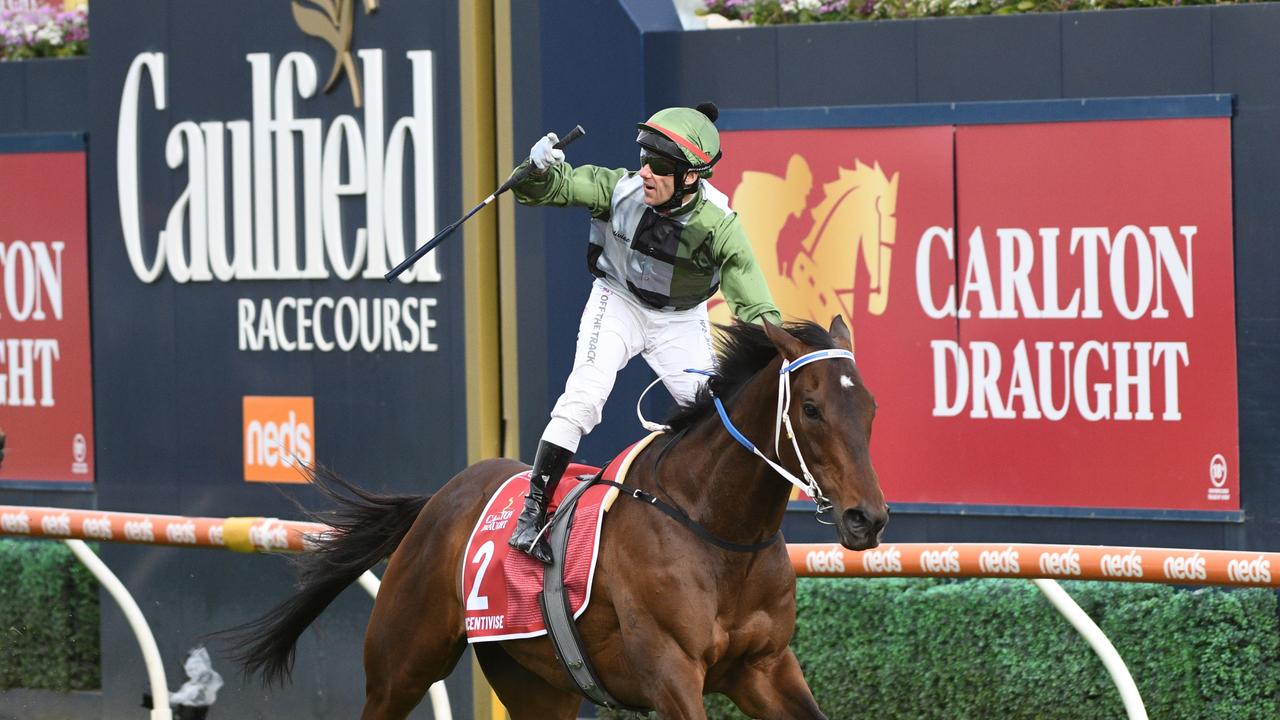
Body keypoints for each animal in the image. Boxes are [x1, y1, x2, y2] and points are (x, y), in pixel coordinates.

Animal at [227, 316, 890, 717]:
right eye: (811, 408)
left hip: (534, 681)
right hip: (401, 664)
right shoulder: (672, 671)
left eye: (870, 406)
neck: (718, 529)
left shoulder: (765, 668)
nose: (869, 518)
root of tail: (439, 498)